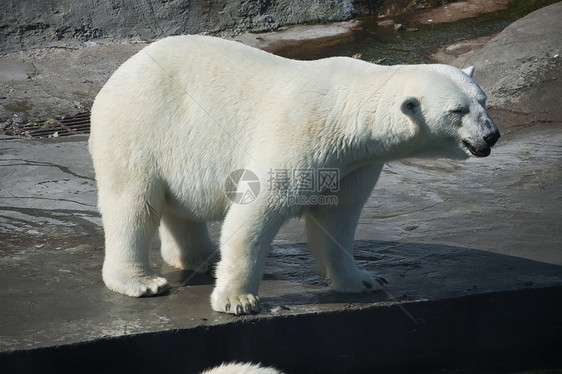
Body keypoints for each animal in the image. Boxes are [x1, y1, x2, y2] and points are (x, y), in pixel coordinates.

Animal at [89, 35, 500, 316]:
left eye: (483, 101)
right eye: (457, 111)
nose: (491, 135)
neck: (349, 112)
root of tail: (119, 73)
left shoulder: (355, 163)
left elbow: (337, 219)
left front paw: (363, 280)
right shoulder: (301, 134)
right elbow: (256, 211)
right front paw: (237, 300)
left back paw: (202, 258)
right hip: (139, 126)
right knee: (133, 204)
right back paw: (141, 282)